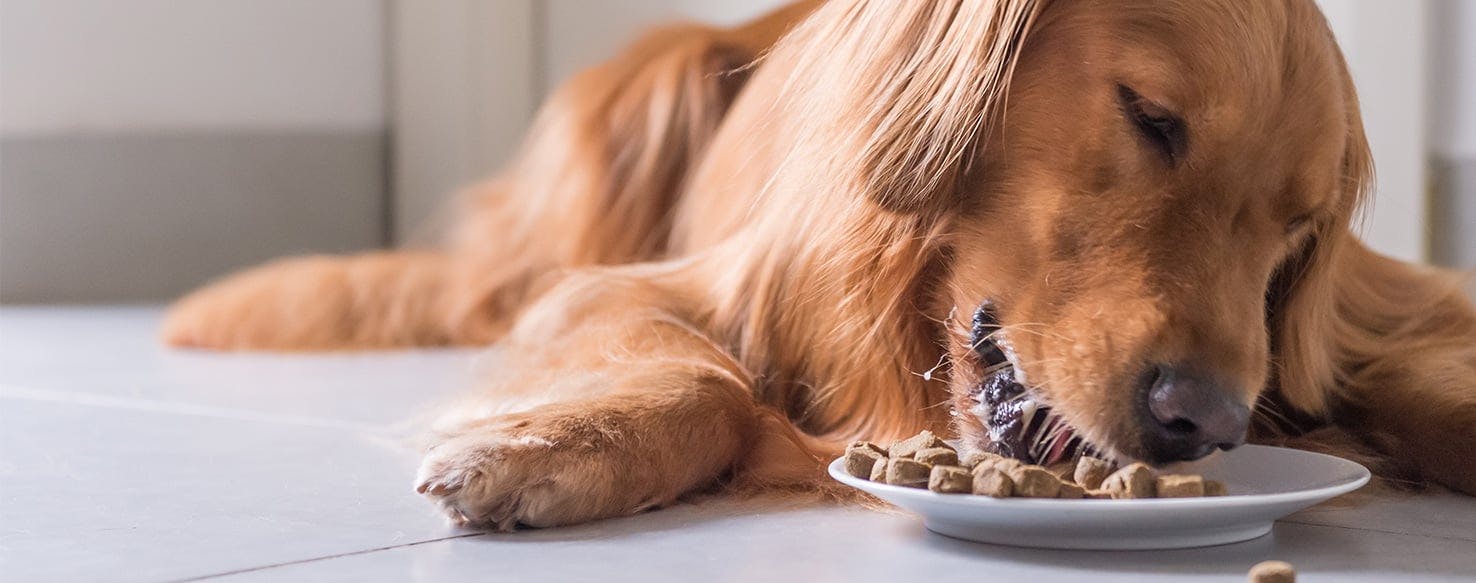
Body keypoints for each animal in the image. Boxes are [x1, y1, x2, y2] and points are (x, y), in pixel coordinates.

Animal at [164, 0, 1476, 528]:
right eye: (1152, 119)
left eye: (1296, 232)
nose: (1204, 420)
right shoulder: (640, 287)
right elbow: (702, 377)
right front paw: (546, 450)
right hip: (636, 100)